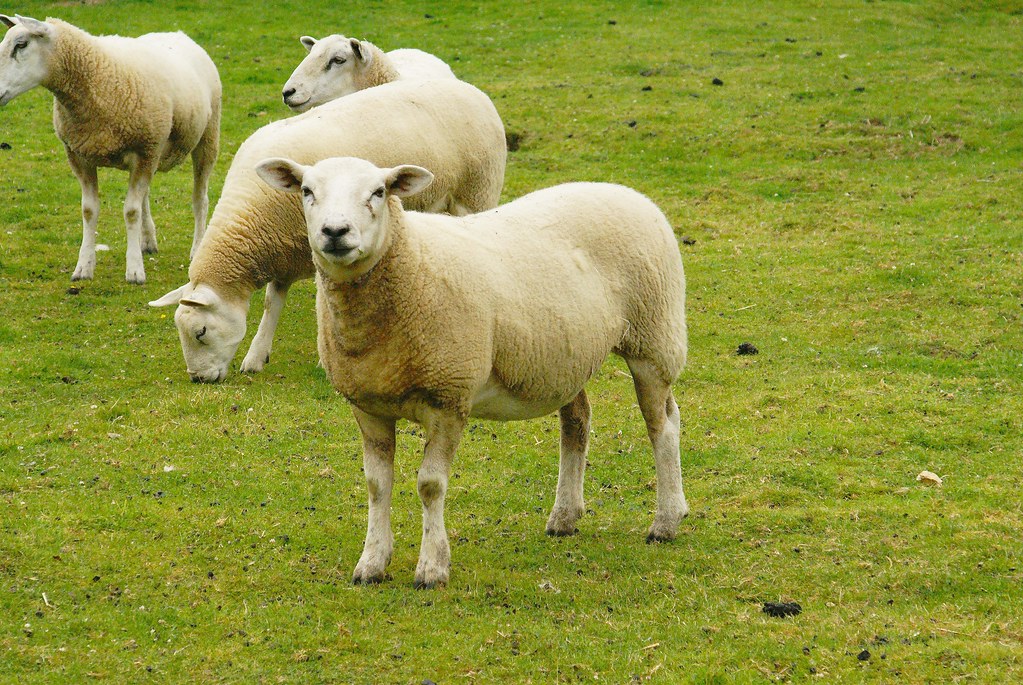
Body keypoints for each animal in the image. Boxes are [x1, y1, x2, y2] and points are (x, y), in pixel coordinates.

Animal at [0, 15, 220, 284]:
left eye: (21, 45)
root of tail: (177, 33)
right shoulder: (79, 156)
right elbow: (89, 210)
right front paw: (84, 266)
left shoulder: (144, 150)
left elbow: (131, 212)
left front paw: (134, 270)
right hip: (154, 152)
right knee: (146, 195)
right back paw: (147, 241)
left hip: (206, 137)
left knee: (200, 198)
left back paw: (197, 248)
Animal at [150, 79, 506, 383]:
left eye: (200, 333)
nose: (198, 378)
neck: (252, 221)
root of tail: (471, 89)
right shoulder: (284, 251)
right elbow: (271, 304)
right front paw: (256, 356)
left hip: (477, 191)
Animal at [255, 155, 689, 589]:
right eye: (307, 191)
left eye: (379, 192)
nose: (334, 232)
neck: (411, 263)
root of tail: (627, 192)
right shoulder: (368, 405)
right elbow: (377, 485)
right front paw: (372, 562)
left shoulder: (449, 398)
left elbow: (430, 485)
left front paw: (432, 568)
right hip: (565, 355)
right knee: (578, 421)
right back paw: (565, 517)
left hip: (653, 339)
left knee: (663, 426)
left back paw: (666, 521)